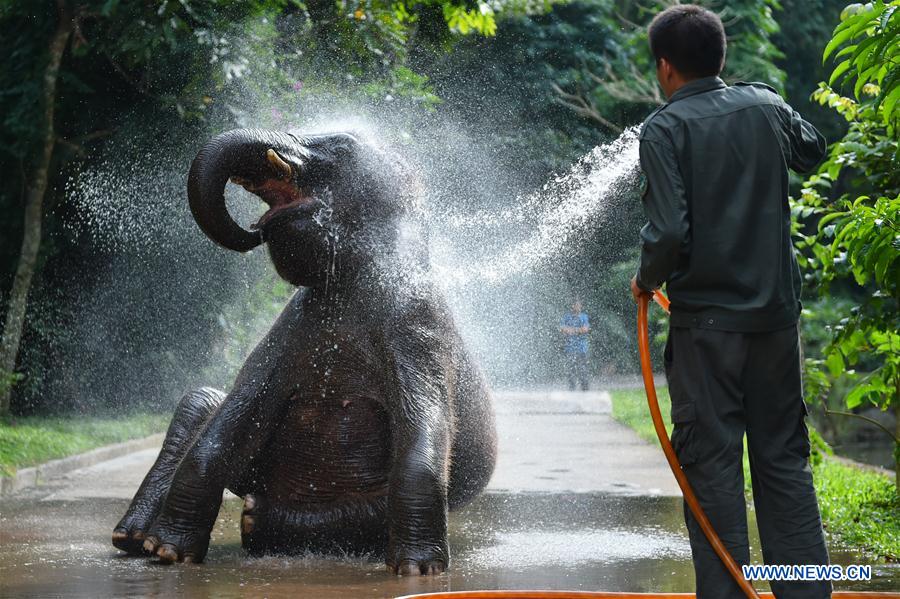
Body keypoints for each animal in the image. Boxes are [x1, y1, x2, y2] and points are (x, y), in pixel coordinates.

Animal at [111, 128, 497, 575]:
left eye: (342, 147)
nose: (251, 230)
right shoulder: (288, 329)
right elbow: (233, 416)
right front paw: (167, 551)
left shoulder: (418, 324)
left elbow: (424, 431)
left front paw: (418, 571)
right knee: (202, 400)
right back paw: (133, 537)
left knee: (368, 511)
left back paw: (254, 520)